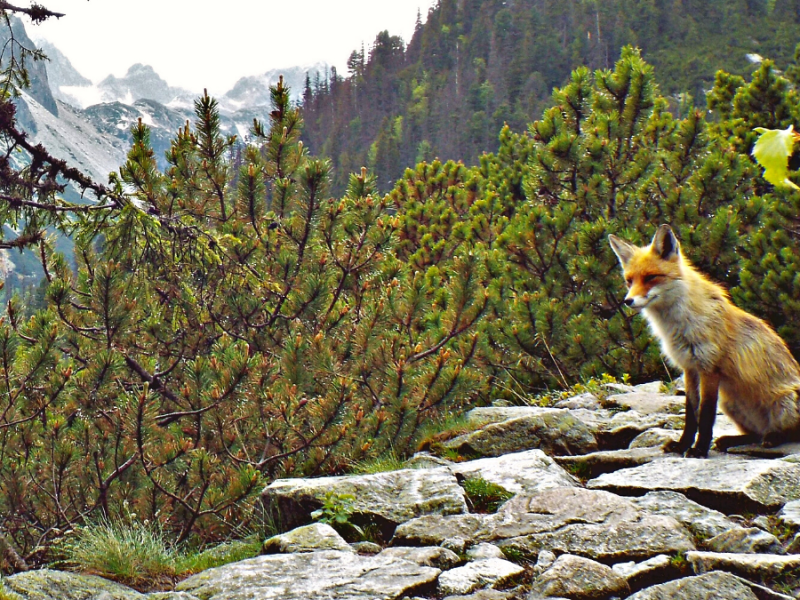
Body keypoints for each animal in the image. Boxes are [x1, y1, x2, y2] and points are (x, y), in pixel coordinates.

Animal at [609, 225, 800, 458]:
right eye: (629, 281)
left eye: (651, 277)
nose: (628, 301)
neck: (679, 325)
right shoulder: (689, 368)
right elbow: (691, 414)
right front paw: (682, 445)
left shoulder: (710, 368)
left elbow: (706, 415)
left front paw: (699, 449)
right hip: (730, 403)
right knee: (755, 434)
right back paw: (732, 440)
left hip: (784, 403)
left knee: (787, 432)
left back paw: (773, 437)